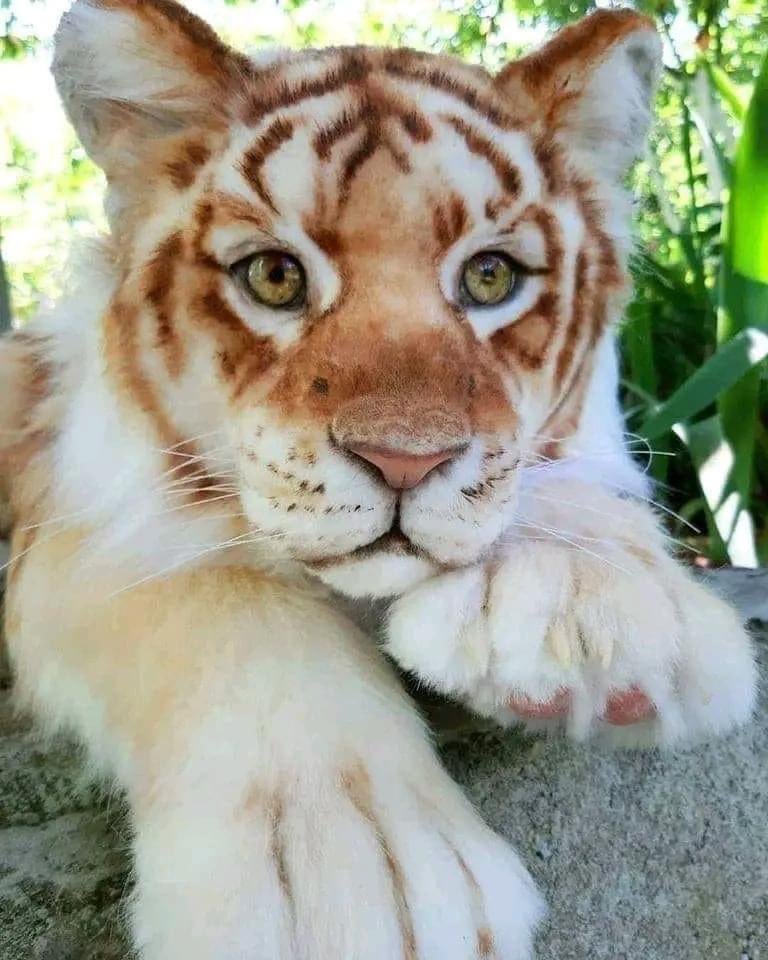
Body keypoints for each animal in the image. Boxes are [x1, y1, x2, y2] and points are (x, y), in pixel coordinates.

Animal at [0, 1, 756, 957]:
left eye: (491, 275)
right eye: (275, 276)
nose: (406, 461)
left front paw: (589, 616)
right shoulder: (73, 521)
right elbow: (226, 597)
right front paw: (354, 878)